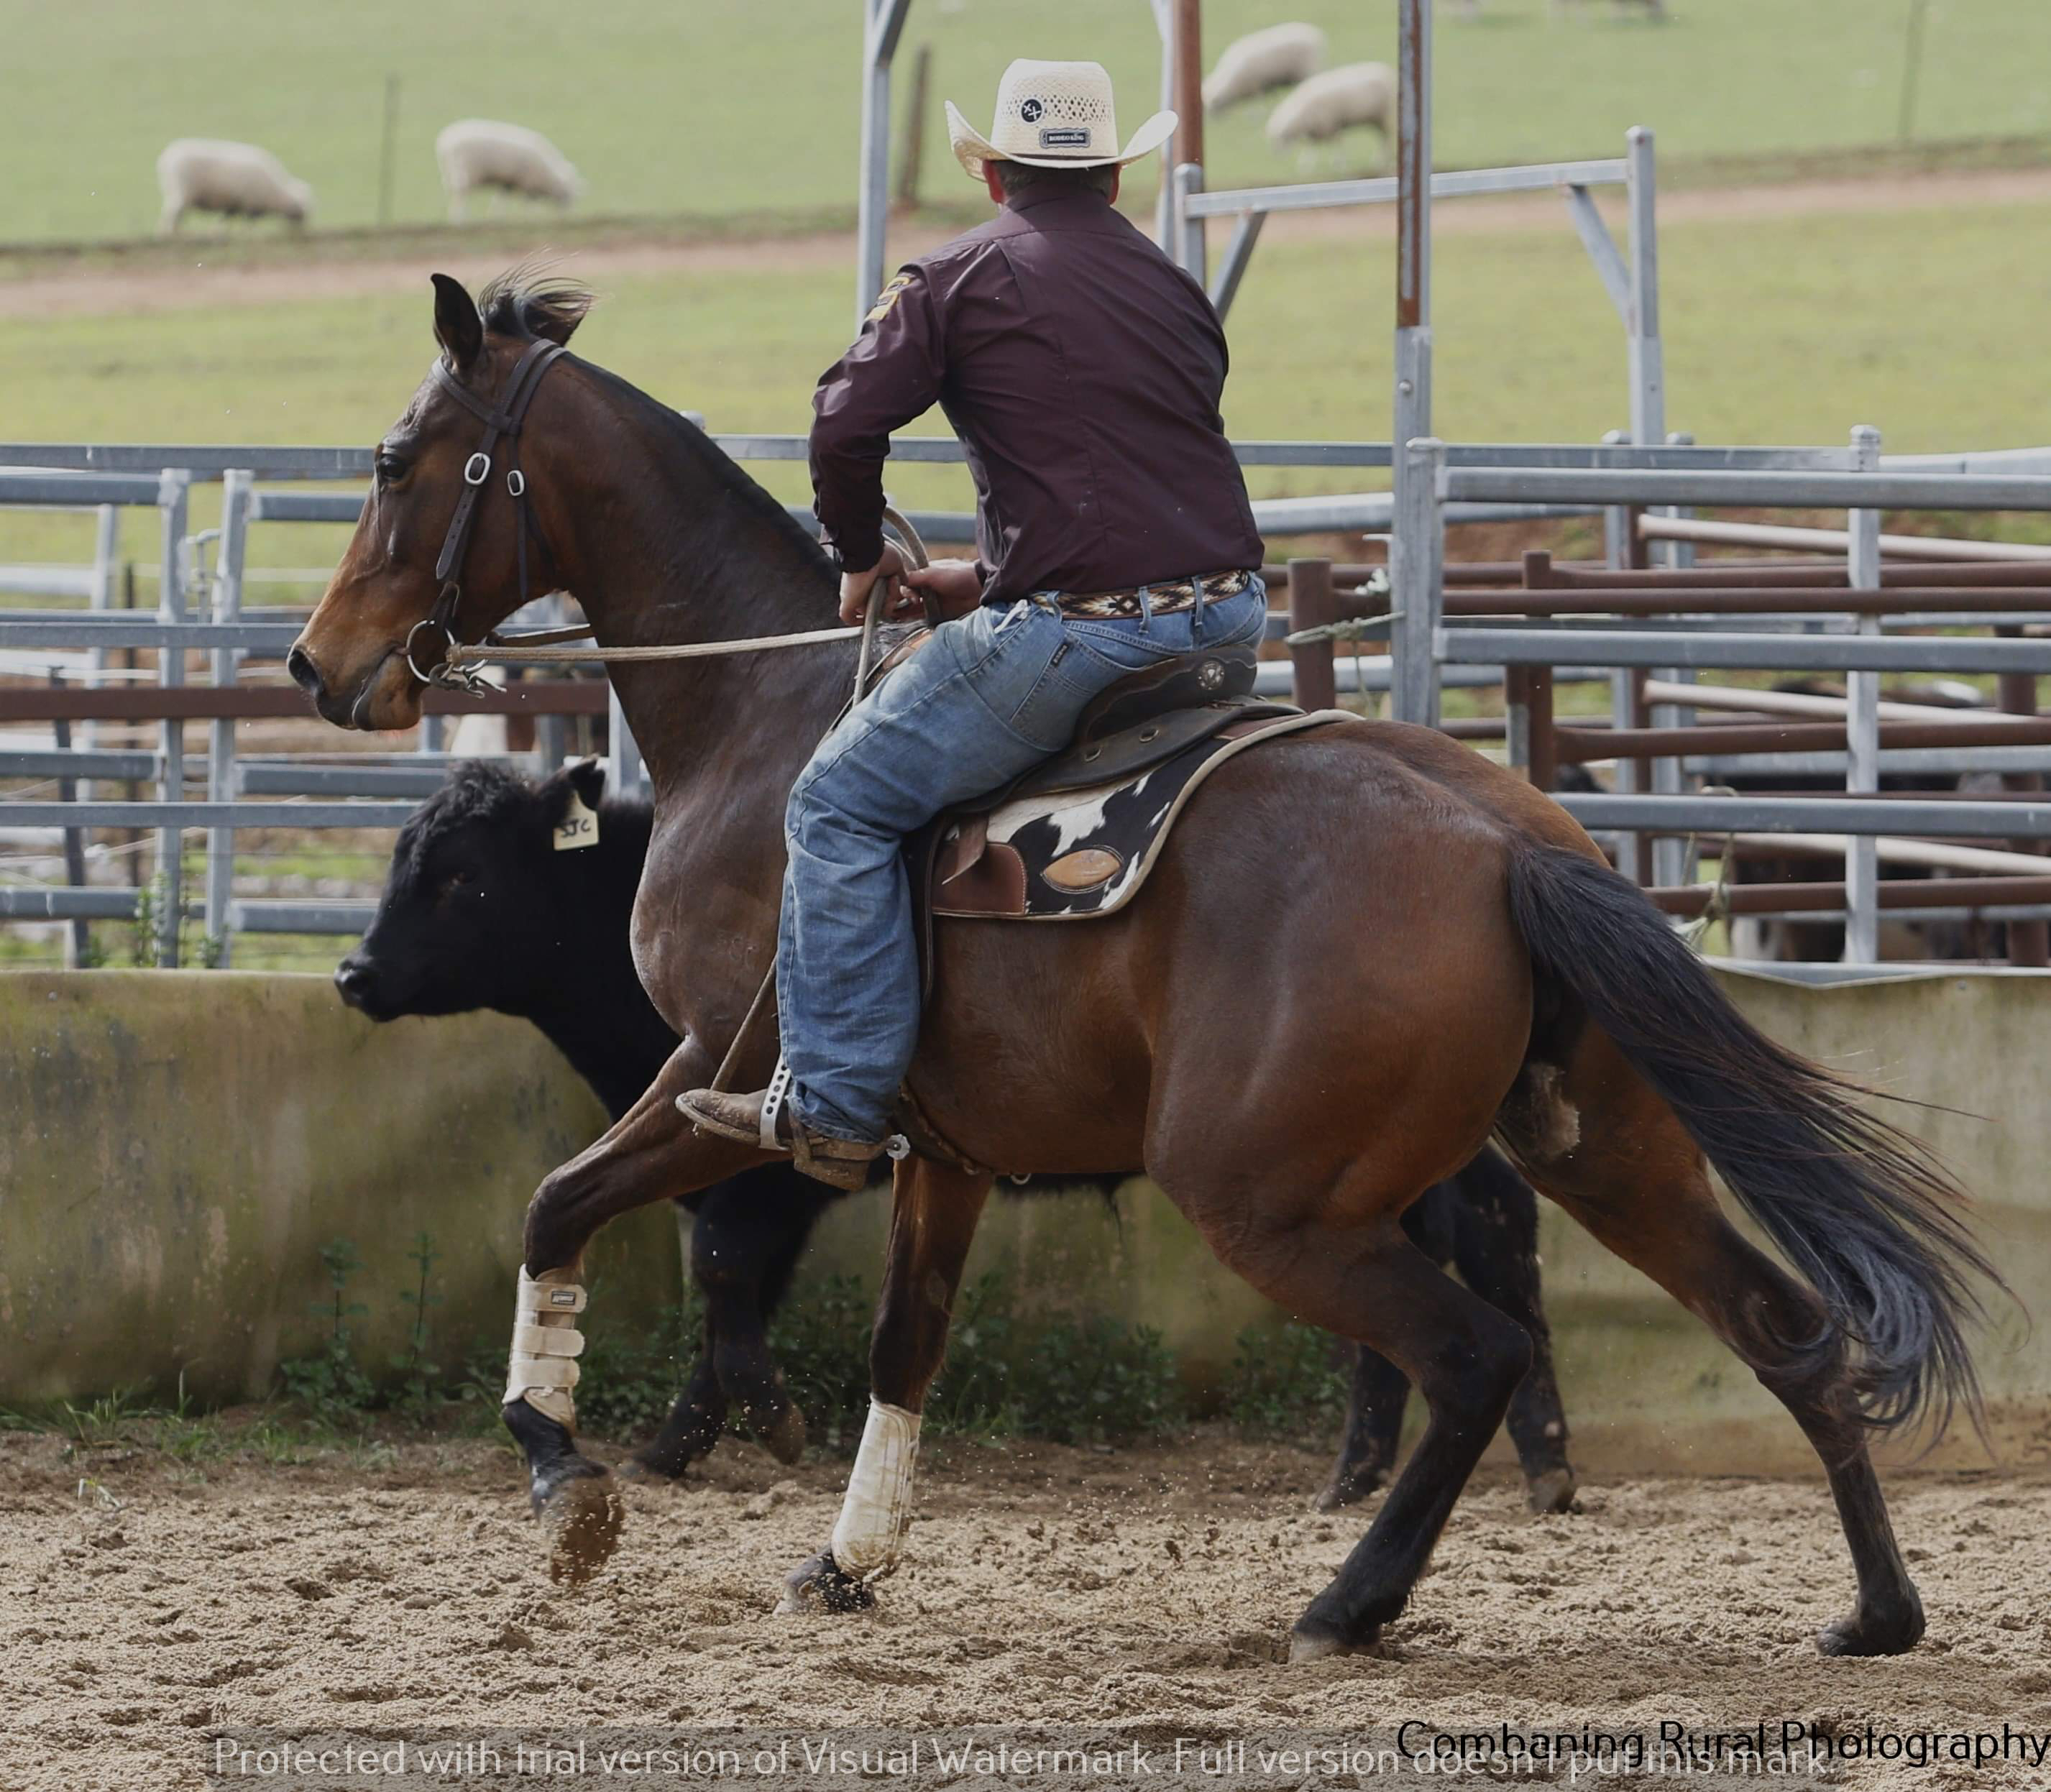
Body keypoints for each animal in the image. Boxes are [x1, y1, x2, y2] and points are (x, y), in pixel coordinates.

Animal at [287, 268, 1993, 1662]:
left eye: (391, 459)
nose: (316, 662)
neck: (759, 714)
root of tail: (1505, 847)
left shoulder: (725, 1069)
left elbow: (561, 1206)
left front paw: (567, 1474)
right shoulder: (942, 1148)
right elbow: (902, 1340)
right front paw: (843, 1560)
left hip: (1267, 1194)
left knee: (1473, 1352)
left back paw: (1347, 1602)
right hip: (1607, 1150)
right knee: (1782, 1328)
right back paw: (1875, 1610)